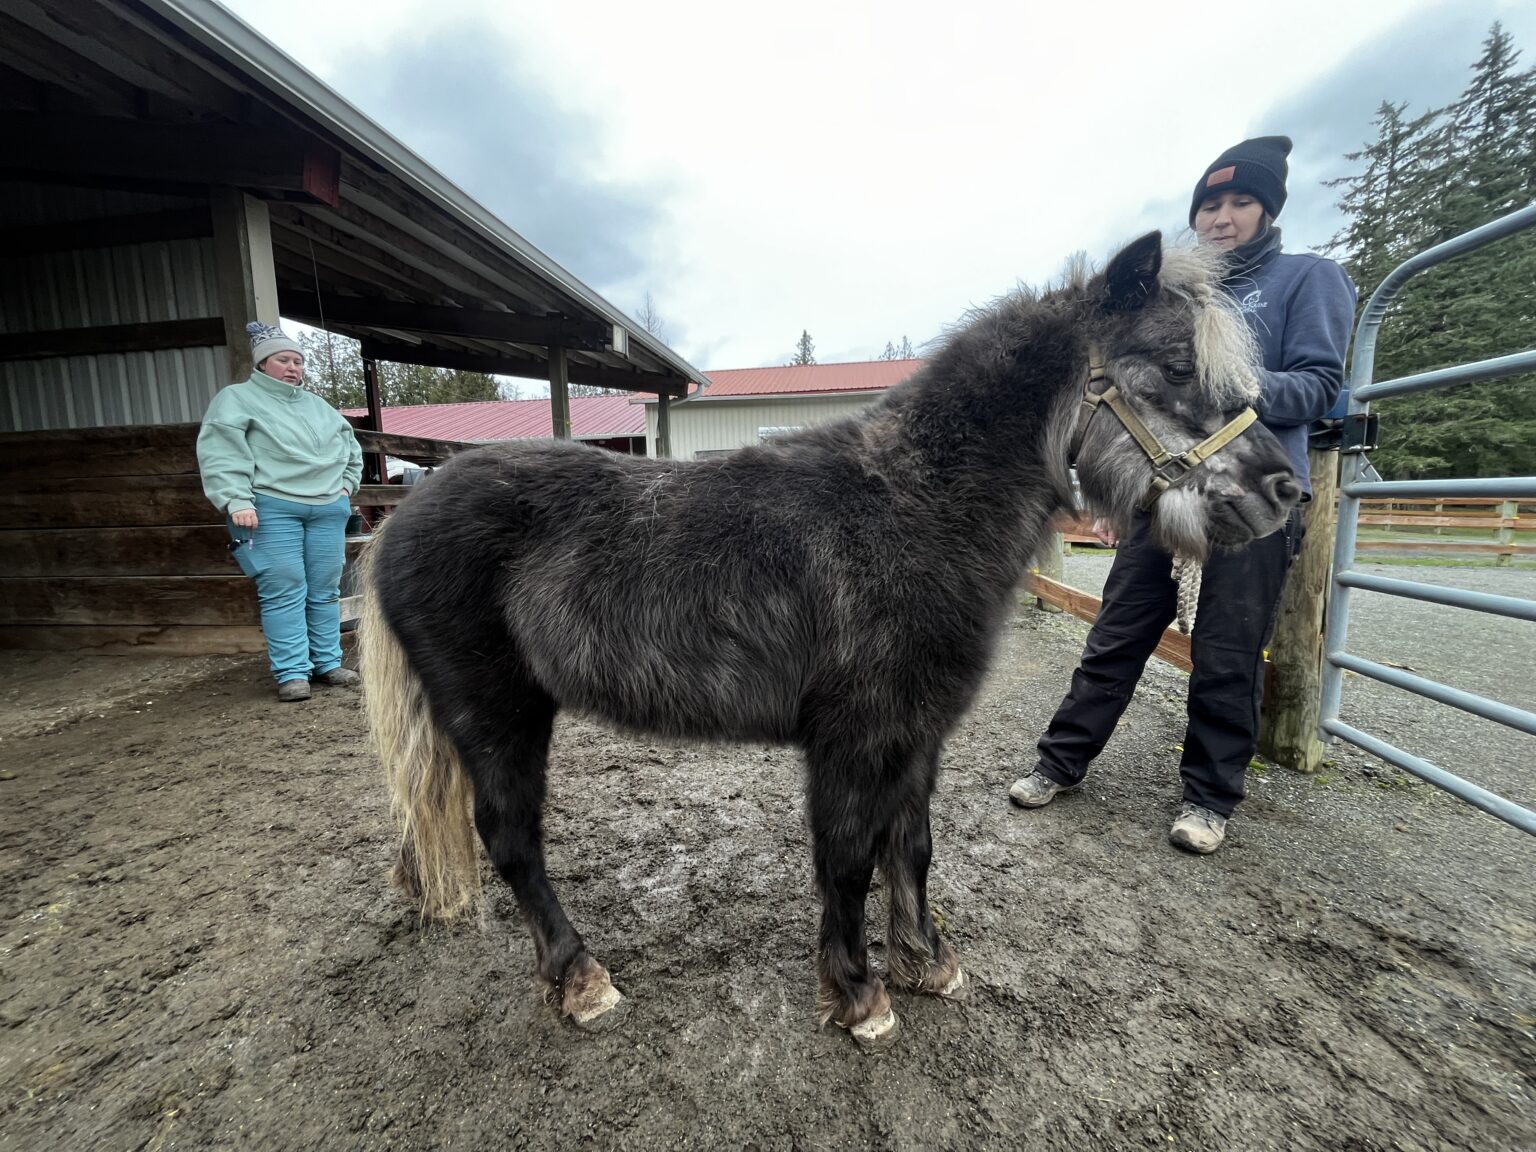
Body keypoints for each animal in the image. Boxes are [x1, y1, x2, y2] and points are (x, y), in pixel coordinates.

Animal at [358, 231, 1300, 1047]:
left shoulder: (917, 732)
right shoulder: (853, 735)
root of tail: (402, 516)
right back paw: (580, 978)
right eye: (1176, 367)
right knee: (510, 836)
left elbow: (910, 847)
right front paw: (858, 995)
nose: (1283, 489)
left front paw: (927, 964)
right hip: (499, 710)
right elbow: (848, 857)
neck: (916, 506)